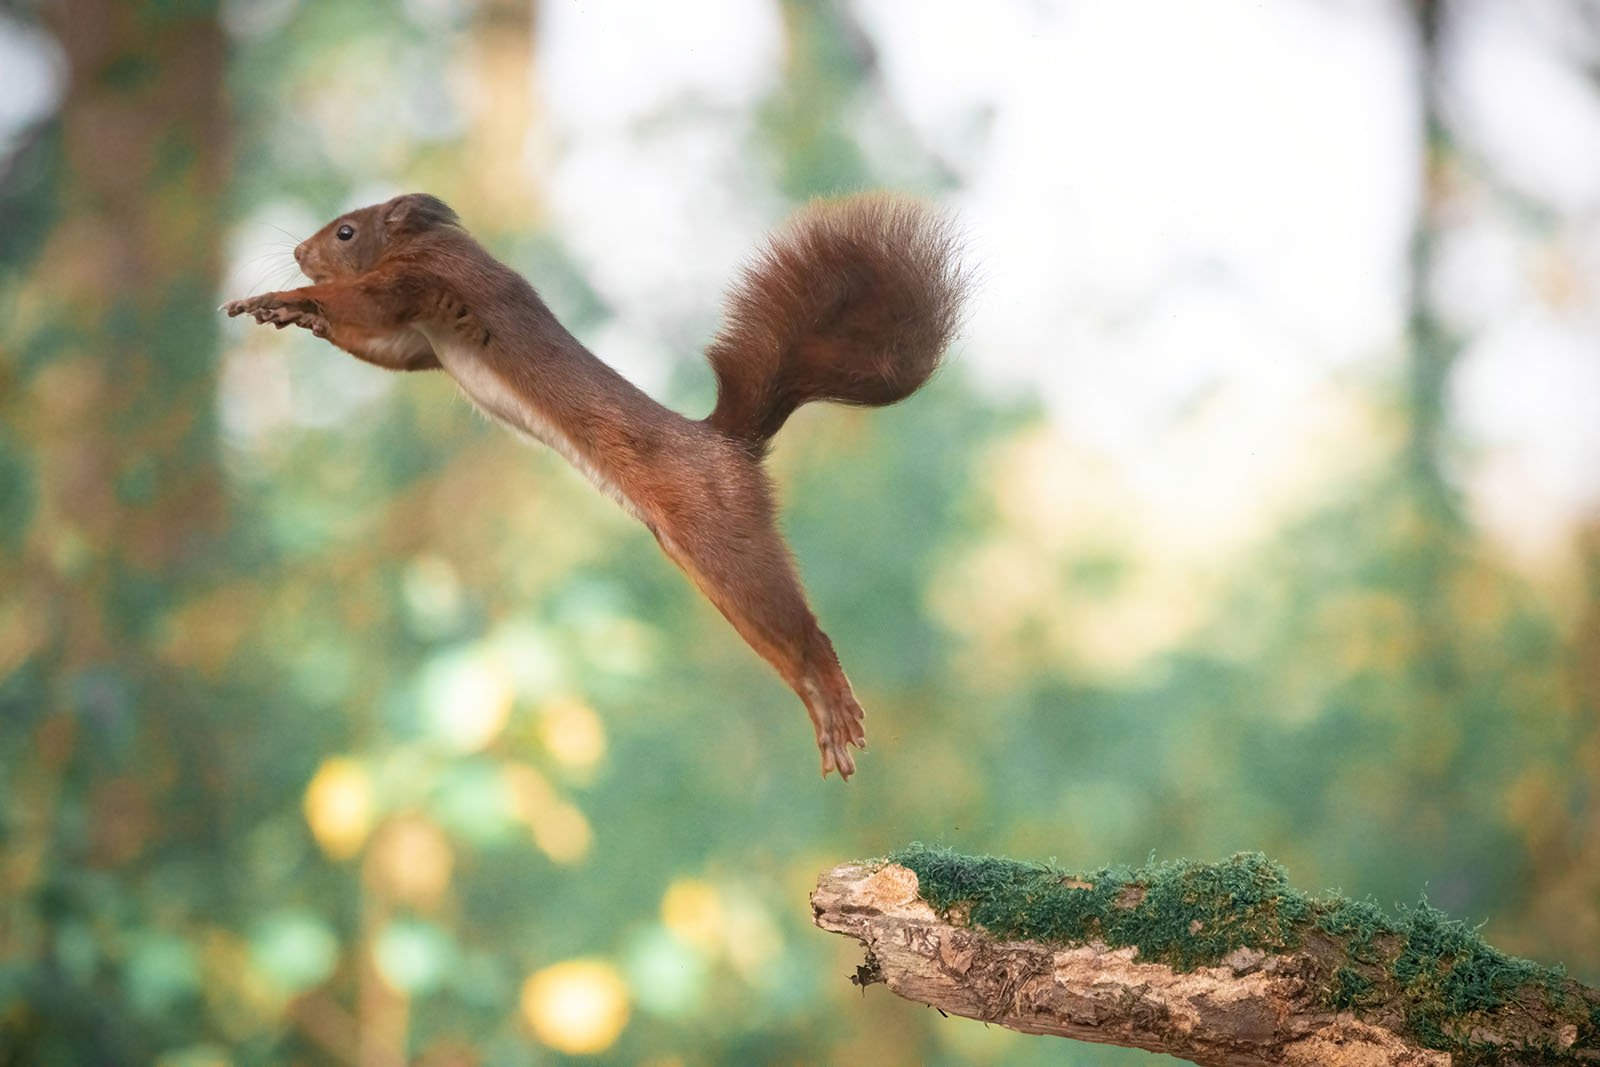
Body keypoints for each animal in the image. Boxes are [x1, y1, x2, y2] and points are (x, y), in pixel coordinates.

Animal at [224, 191, 967, 780]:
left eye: (347, 232)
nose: (298, 250)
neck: (430, 240)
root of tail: (730, 445)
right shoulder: (420, 339)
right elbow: (384, 347)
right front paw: (297, 315)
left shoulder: (425, 280)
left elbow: (368, 303)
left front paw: (280, 299)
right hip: (715, 579)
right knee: (788, 653)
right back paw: (824, 721)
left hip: (727, 545)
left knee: (809, 636)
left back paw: (837, 703)